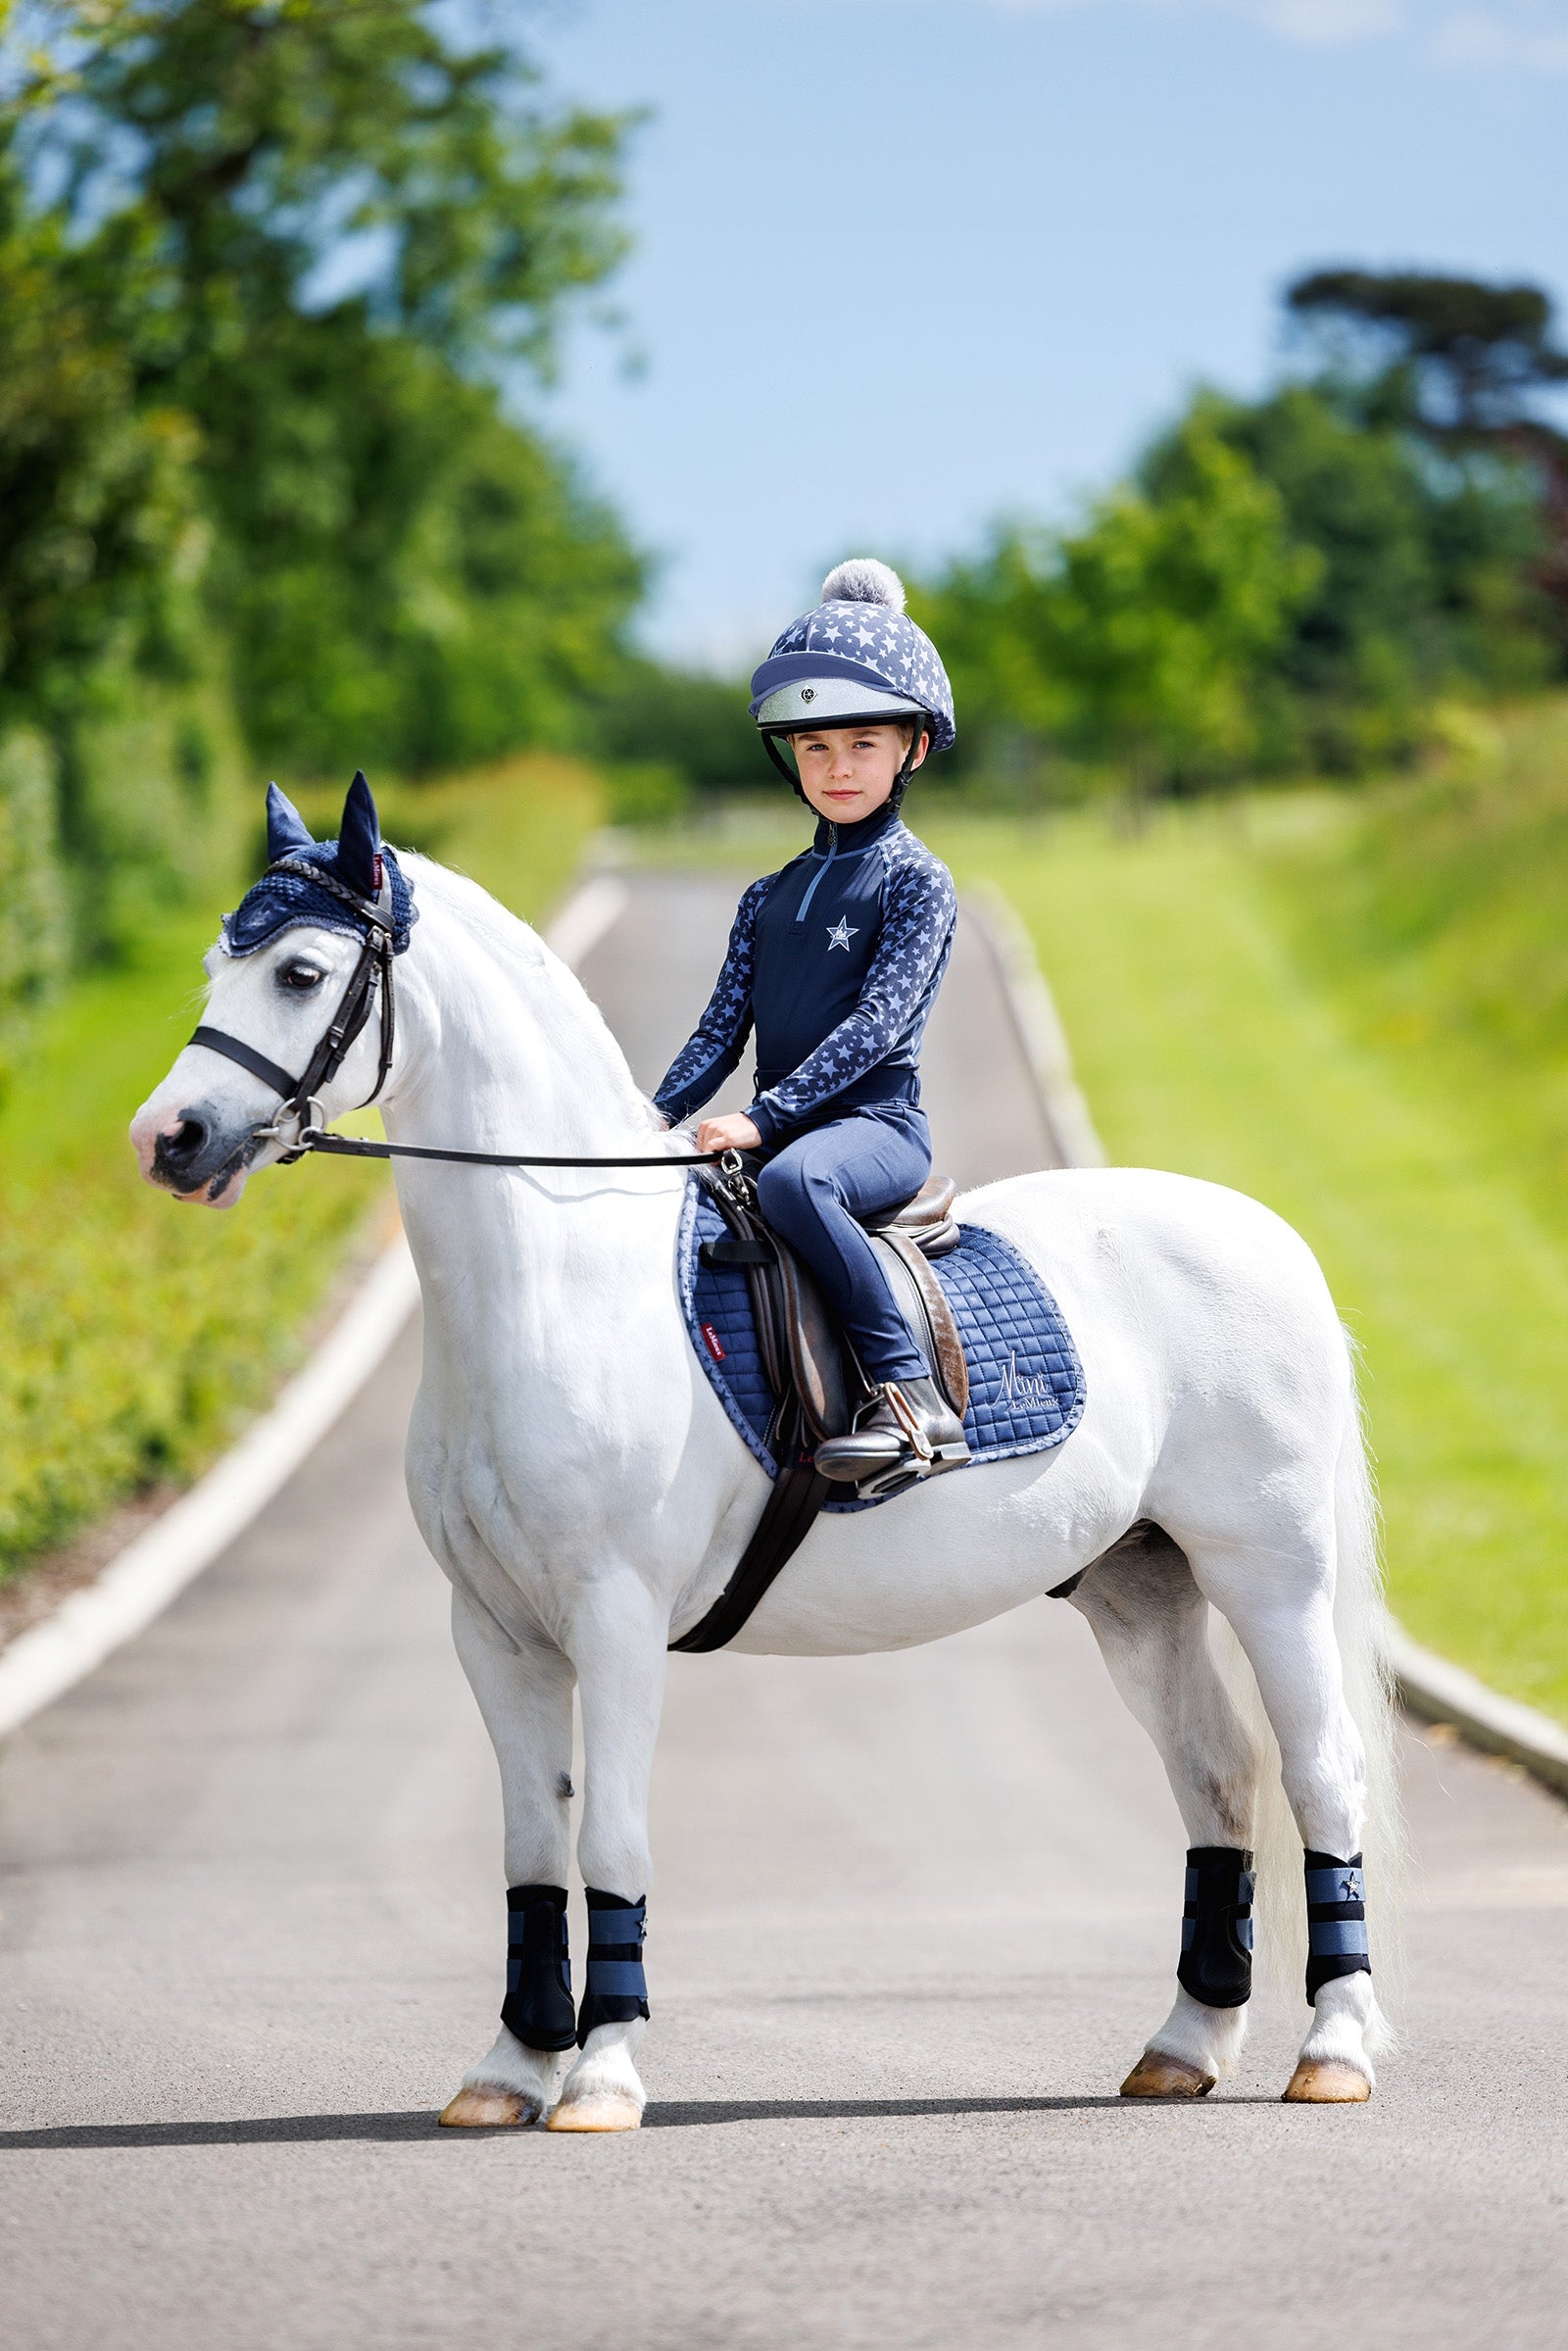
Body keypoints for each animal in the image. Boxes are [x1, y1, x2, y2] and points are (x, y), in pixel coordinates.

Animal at [130, 779, 1401, 2132]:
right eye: (215, 964)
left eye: (302, 970)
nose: (168, 1137)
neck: (557, 1283)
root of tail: (1268, 1232)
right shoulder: (497, 1632)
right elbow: (530, 1851)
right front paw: (507, 2069)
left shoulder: (614, 1618)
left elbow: (610, 1840)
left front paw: (601, 2074)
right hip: (1139, 1585)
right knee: (1216, 1779)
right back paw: (1183, 2045)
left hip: (1269, 1574)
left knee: (1321, 1777)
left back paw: (1333, 2051)